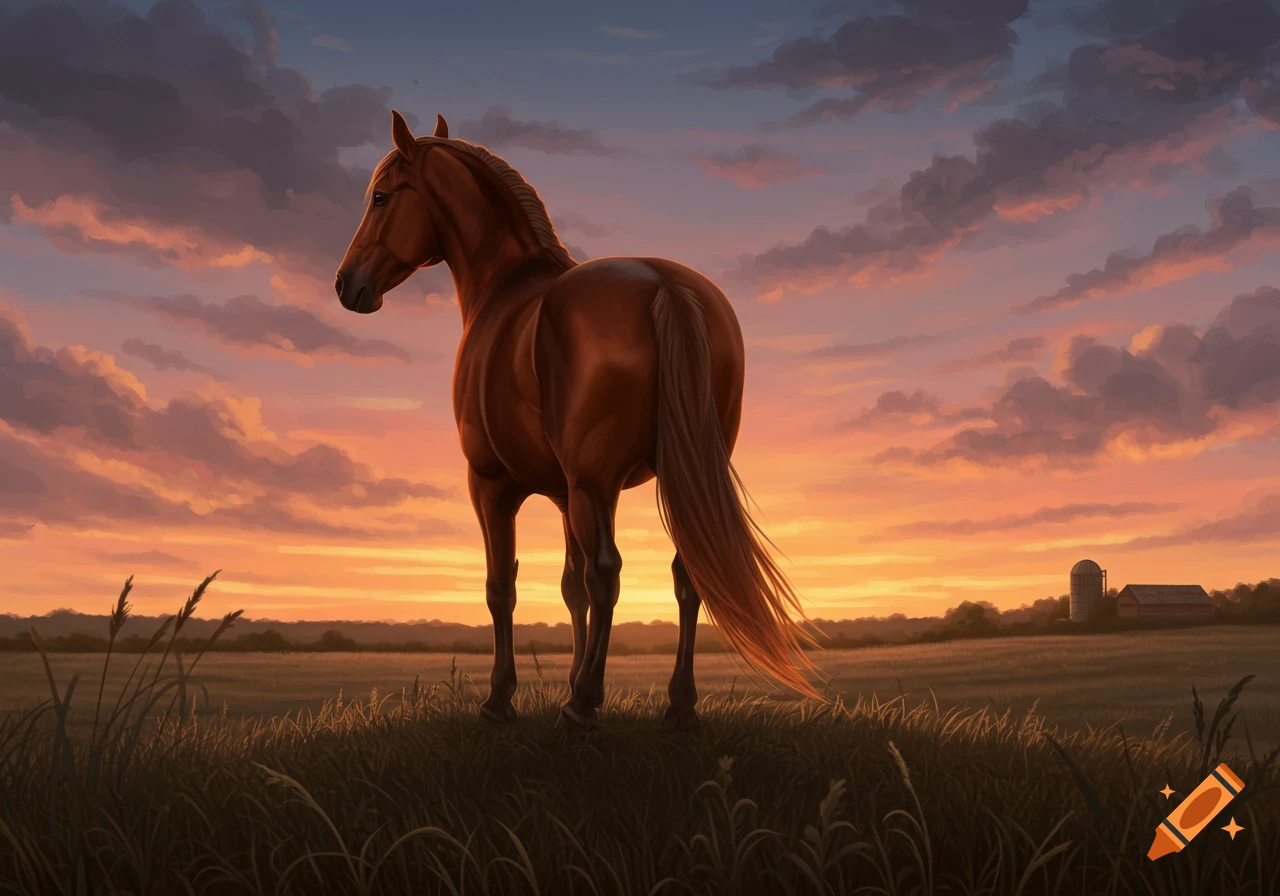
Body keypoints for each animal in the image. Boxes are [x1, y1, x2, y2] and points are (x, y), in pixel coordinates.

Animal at [335, 110, 820, 730]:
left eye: (380, 196)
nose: (347, 284)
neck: (506, 288)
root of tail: (666, 285)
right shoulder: (568, 495)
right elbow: (571, 588)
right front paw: (563, 680)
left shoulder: (493, 484)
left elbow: (504, 586)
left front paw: (502, 699)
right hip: (665, 477)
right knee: (684, 573)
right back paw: (677, 703)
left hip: (594, 483)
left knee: (609, 572)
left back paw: (584, 703)